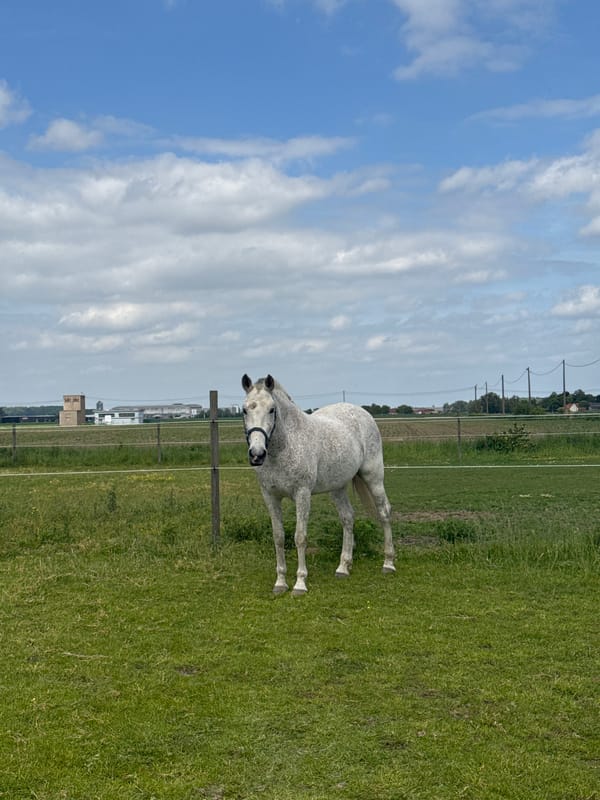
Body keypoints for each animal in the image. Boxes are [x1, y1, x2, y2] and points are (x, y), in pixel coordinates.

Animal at [241, 374, 396, 596]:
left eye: (272, 409)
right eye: (245, 410)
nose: (257, 454)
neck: (284, 447)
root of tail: (363, 413)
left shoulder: (302, 494)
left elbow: (300, 537)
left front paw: (300, 584)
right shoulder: (270, 496)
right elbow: (279, 537)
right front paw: (280, 582)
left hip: (373, 477)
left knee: (384, 513)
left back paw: (388, 563)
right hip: (338, 488)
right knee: (348, 518)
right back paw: (343, 567)